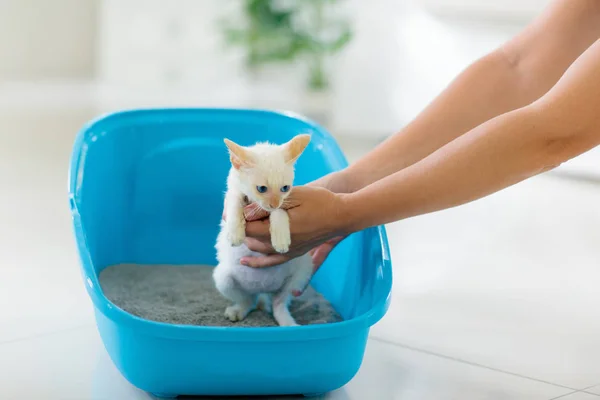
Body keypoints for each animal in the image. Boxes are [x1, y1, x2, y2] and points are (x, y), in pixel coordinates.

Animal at [212, 133, 314, 326]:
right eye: (261, 188)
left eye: (285, 188)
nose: (273, 203)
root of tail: (261, 289)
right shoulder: (232, 194)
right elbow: (235, 202)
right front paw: (235, 232)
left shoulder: (283, 202)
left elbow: (280, 211)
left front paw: (280, 237)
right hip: (223, 278)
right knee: (248, 300)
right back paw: (239, 310)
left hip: (302, 272)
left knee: (278, 303)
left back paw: (287, 323)